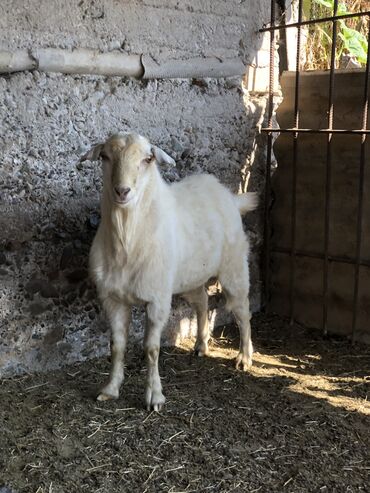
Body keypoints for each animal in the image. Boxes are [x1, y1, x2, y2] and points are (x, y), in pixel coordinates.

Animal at [81, 133, 258, 410]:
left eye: (147, 159)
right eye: (105, 157)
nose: (122, 191)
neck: (127, 239)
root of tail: (228, 196)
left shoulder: (157, 300)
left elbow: (151, 349)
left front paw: (154, 396)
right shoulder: (112, 298)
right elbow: (116, 346)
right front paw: (110, 389)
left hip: (234, 268)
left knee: (242, 311)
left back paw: (244, 357)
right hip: (190, 276)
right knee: (202, 302)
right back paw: (201, 344)